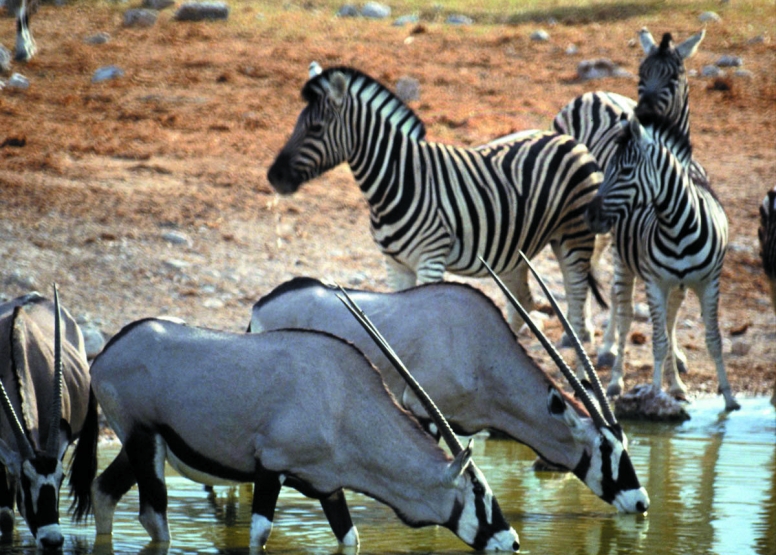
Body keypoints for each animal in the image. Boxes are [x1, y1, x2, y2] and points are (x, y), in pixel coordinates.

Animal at [268, 65, 608, 344]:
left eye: (315, 128)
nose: (274, 177)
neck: (397, 181)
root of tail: (569, 139)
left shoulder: (431, 259)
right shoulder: (395, 265)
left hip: (574, 236)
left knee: (576, 305)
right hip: (516, 252)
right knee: (522, 304)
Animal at [552, 28, 708, 378]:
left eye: (675, 77)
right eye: (640, 74)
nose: (641, 116)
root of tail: (593, 92)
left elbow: (670, 306)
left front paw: (677, 355)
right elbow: (624, 295)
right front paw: (609, 350)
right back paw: (580, 332)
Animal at [584, 111, 744, 412]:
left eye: (625, 171)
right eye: (607, 170)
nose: (591, 215)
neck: (677, 227)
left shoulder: (709, 282)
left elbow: (713, 339)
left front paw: (729, 398)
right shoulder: (654, 282)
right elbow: (658, 341)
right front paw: (654, 395)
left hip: (678, 286)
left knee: (670, 323)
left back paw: (677, 385)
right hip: (624, 265)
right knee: (626, 318)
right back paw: (616, 381)